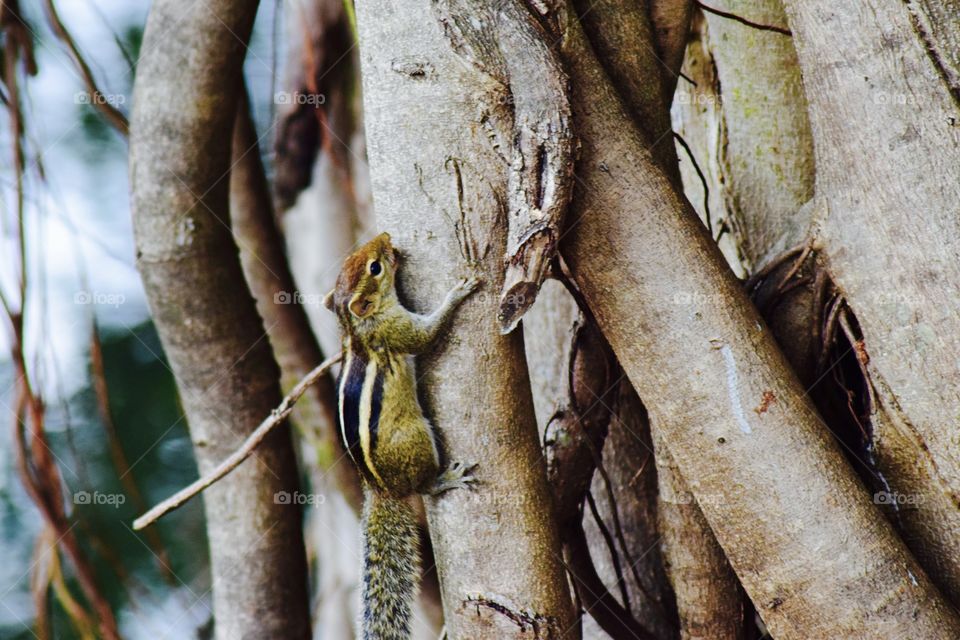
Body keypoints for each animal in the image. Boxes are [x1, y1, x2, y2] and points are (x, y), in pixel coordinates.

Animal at [323, 232, 480, 640]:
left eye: (362, 260)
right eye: (375, 268)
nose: (385, 237)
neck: (355, 327)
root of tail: (382, 490)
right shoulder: (397, 329)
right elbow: (426, 336)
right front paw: (459, 292)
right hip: (418, 439)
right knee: (424, 487)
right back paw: (446, 479)